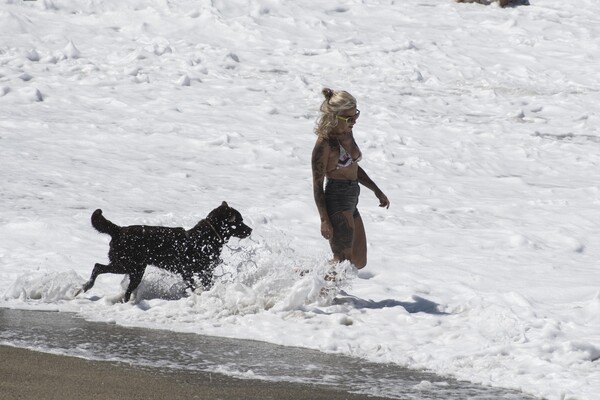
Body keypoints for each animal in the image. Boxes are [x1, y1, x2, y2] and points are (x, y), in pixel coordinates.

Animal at [79, 202, 251, 302]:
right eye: (239, 221)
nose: (250, 230)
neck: (205, 238)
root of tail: (118, 230)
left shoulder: (205, 272)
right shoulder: (187, 271)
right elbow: (193, 286)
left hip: (134, 269)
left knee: (125, 288)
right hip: (127, 264)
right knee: (98, 266)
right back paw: (87, 286)